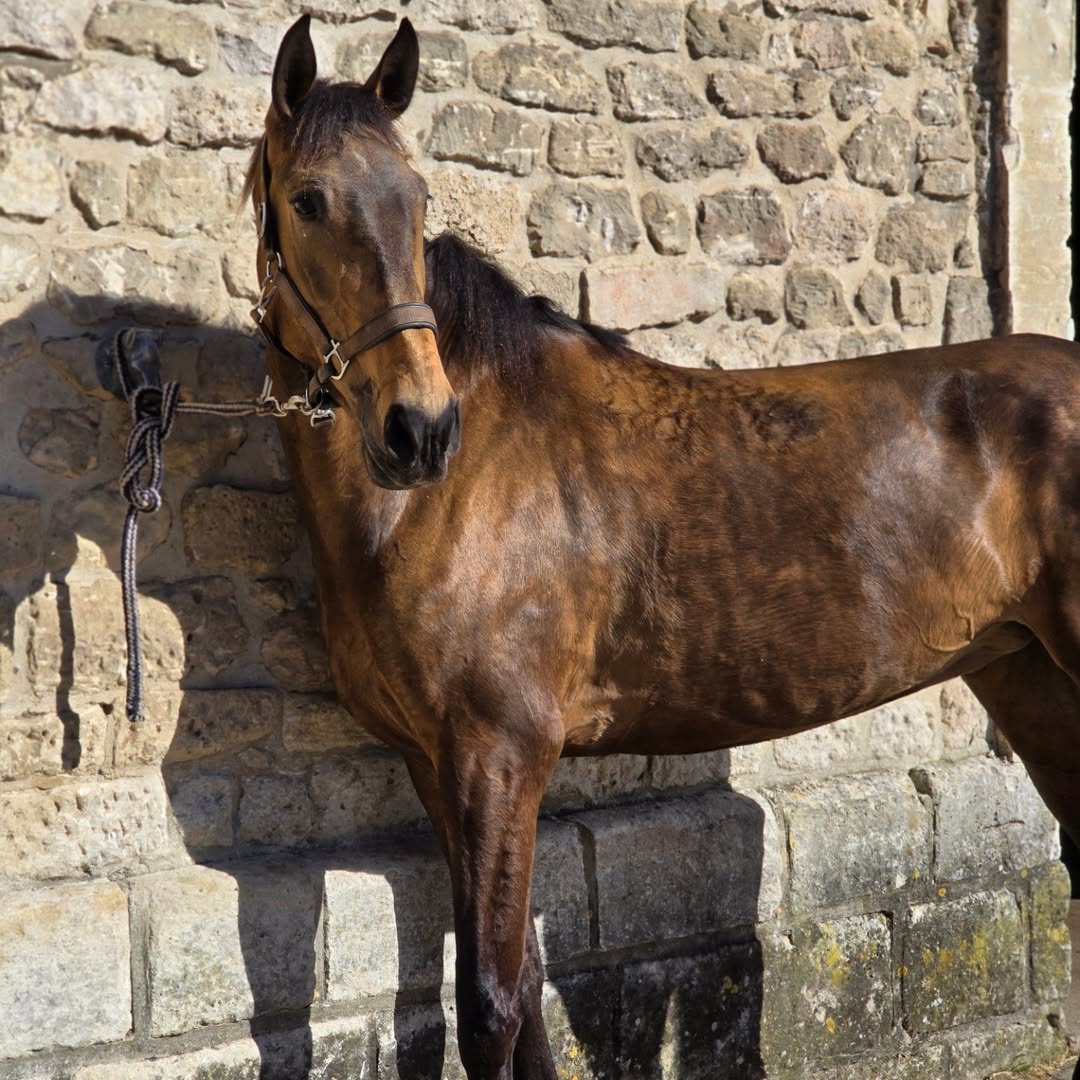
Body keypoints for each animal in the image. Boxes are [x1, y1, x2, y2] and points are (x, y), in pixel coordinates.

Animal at [247, 16, 1080, 1079]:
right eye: (308, 200)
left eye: (417, 197)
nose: (418, 429)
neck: (445, 495)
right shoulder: (437, 764)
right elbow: (521, 990)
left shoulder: (498, 755)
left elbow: (491, 1005)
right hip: (1028, 676)